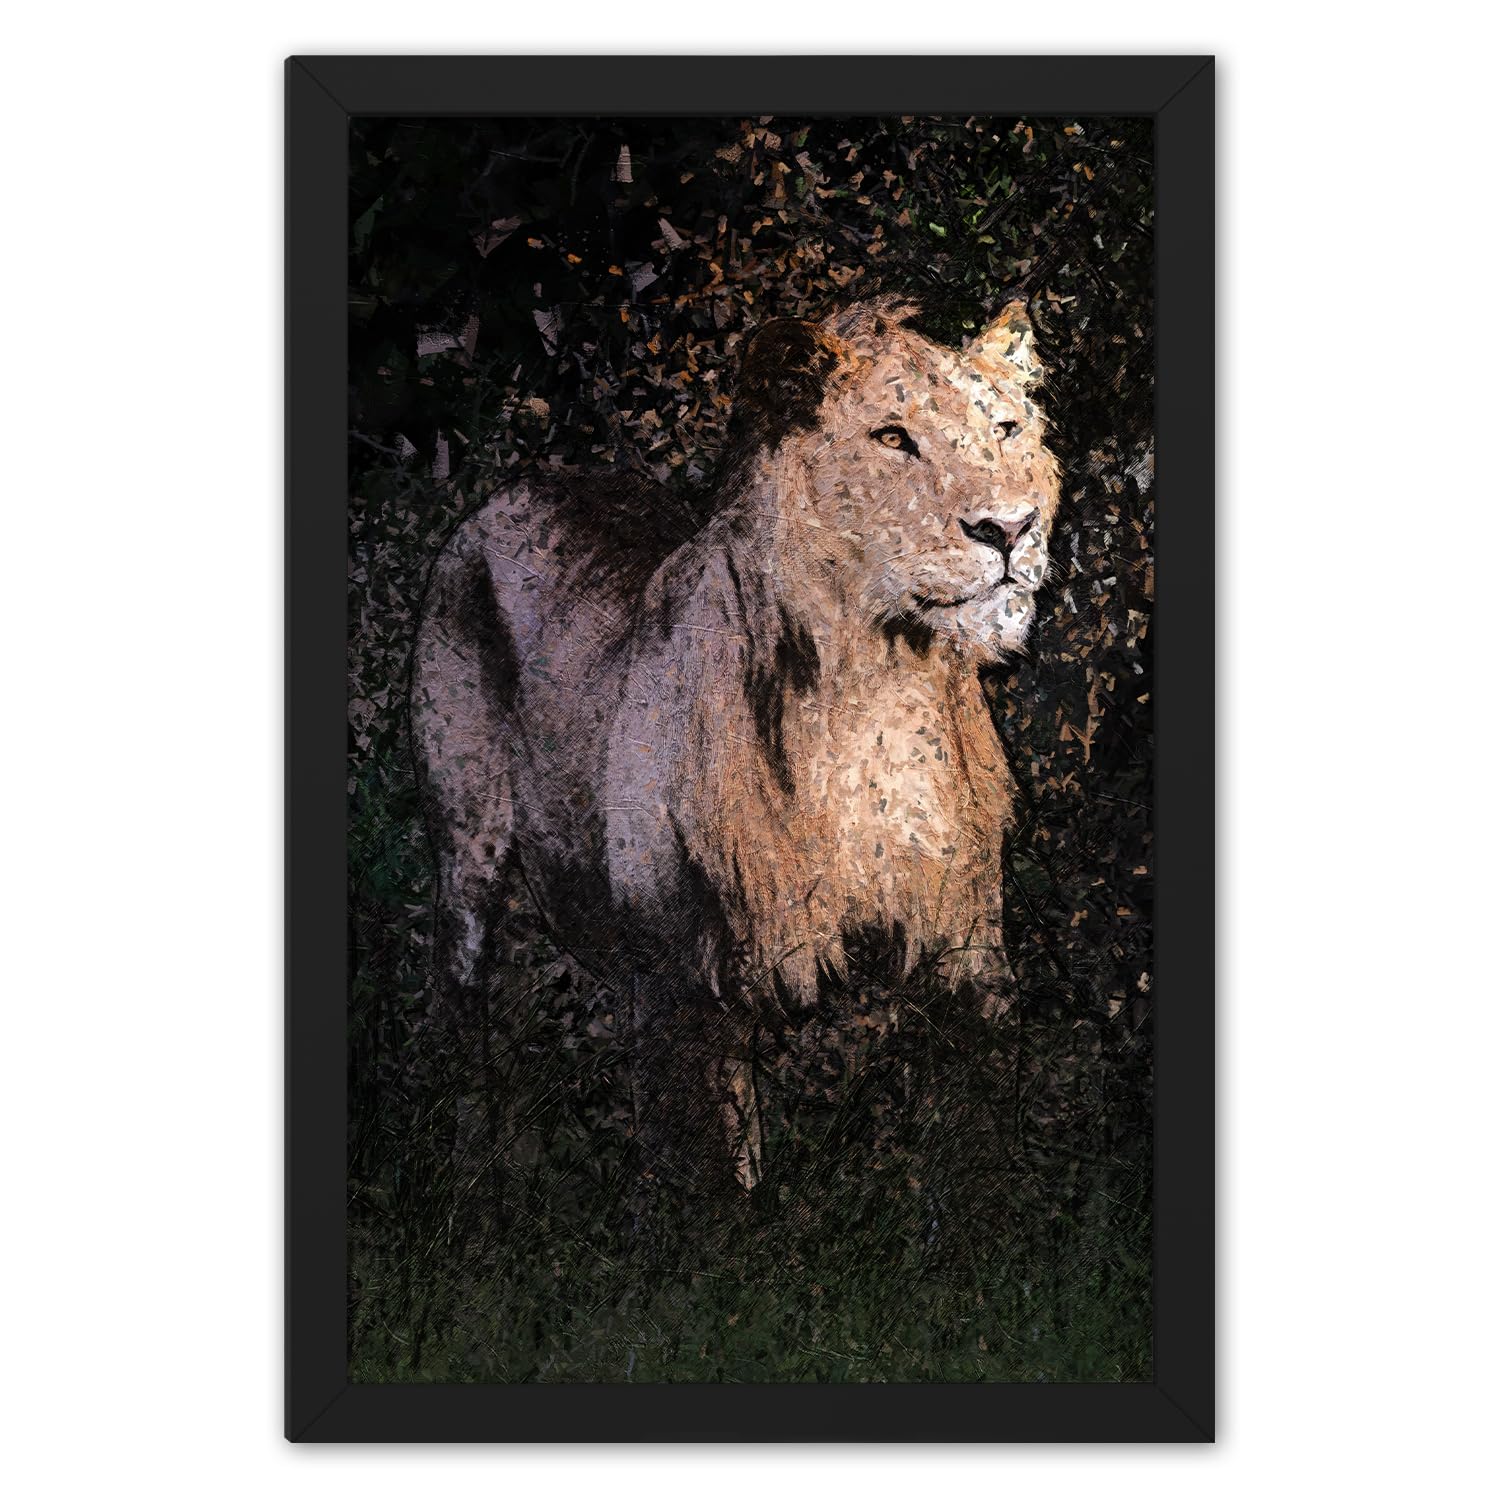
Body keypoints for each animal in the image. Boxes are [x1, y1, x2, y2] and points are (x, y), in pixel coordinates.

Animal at [412, 297, 1062, 1197]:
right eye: (893, 437)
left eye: (1005, 427)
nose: (1009, 528)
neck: (879, 694)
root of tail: (525, 484)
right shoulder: (683, 980)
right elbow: (711, 1182)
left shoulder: (966, 946)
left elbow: (981, 1128)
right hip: (468, 844)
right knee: (465, 1004)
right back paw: (475, 1172)